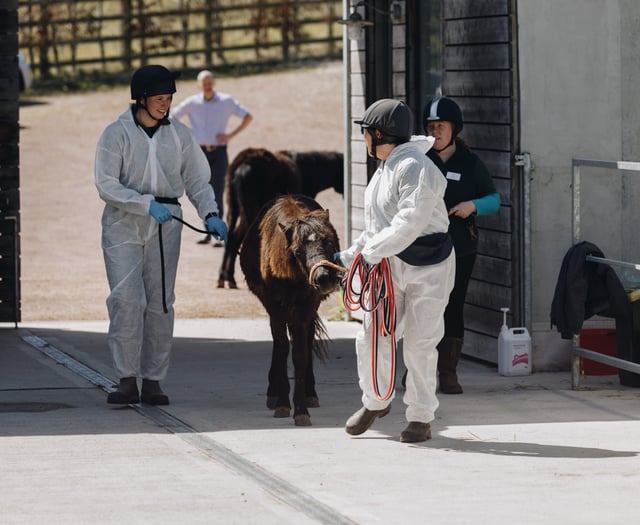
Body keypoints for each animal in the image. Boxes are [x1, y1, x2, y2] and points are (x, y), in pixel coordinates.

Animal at [218, 147, 344, 289]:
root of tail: (243, 163)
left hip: (232, 208)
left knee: (229, 237)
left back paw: (225, 278)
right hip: (249, 212)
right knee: (237, 238)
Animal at [239, 194, 341, 426]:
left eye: (328, 241)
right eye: (297, 251)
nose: (324, 278)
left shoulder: (305, 309)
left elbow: (300, 353)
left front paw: (301, 408)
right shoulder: (275, 308)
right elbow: (283, 348)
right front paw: (283, 403)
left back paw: (310, 393)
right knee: (279, 346)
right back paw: (273, 392)